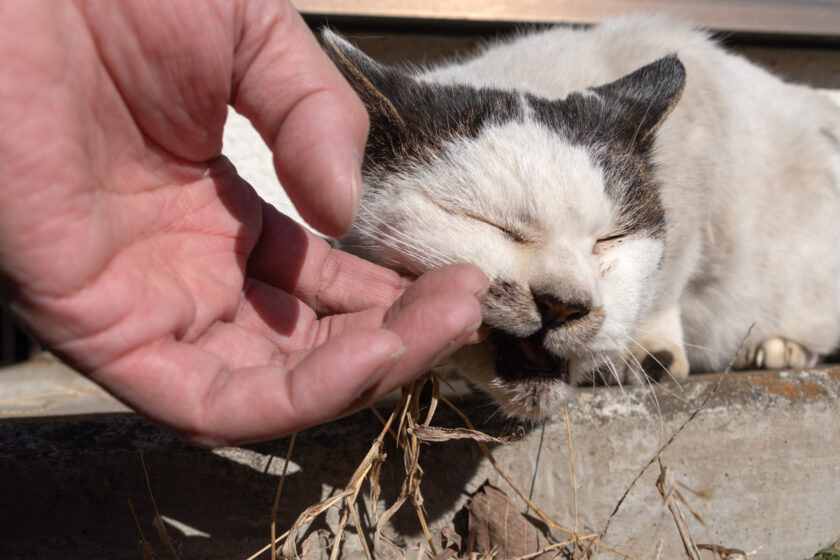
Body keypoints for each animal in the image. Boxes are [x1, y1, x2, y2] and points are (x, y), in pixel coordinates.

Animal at [320, 14, 840, 420]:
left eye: (609, 238)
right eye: (488, 224)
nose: (563, 305)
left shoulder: (706, 132)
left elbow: (673, 275)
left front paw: (646, 352)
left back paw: (777, 348)